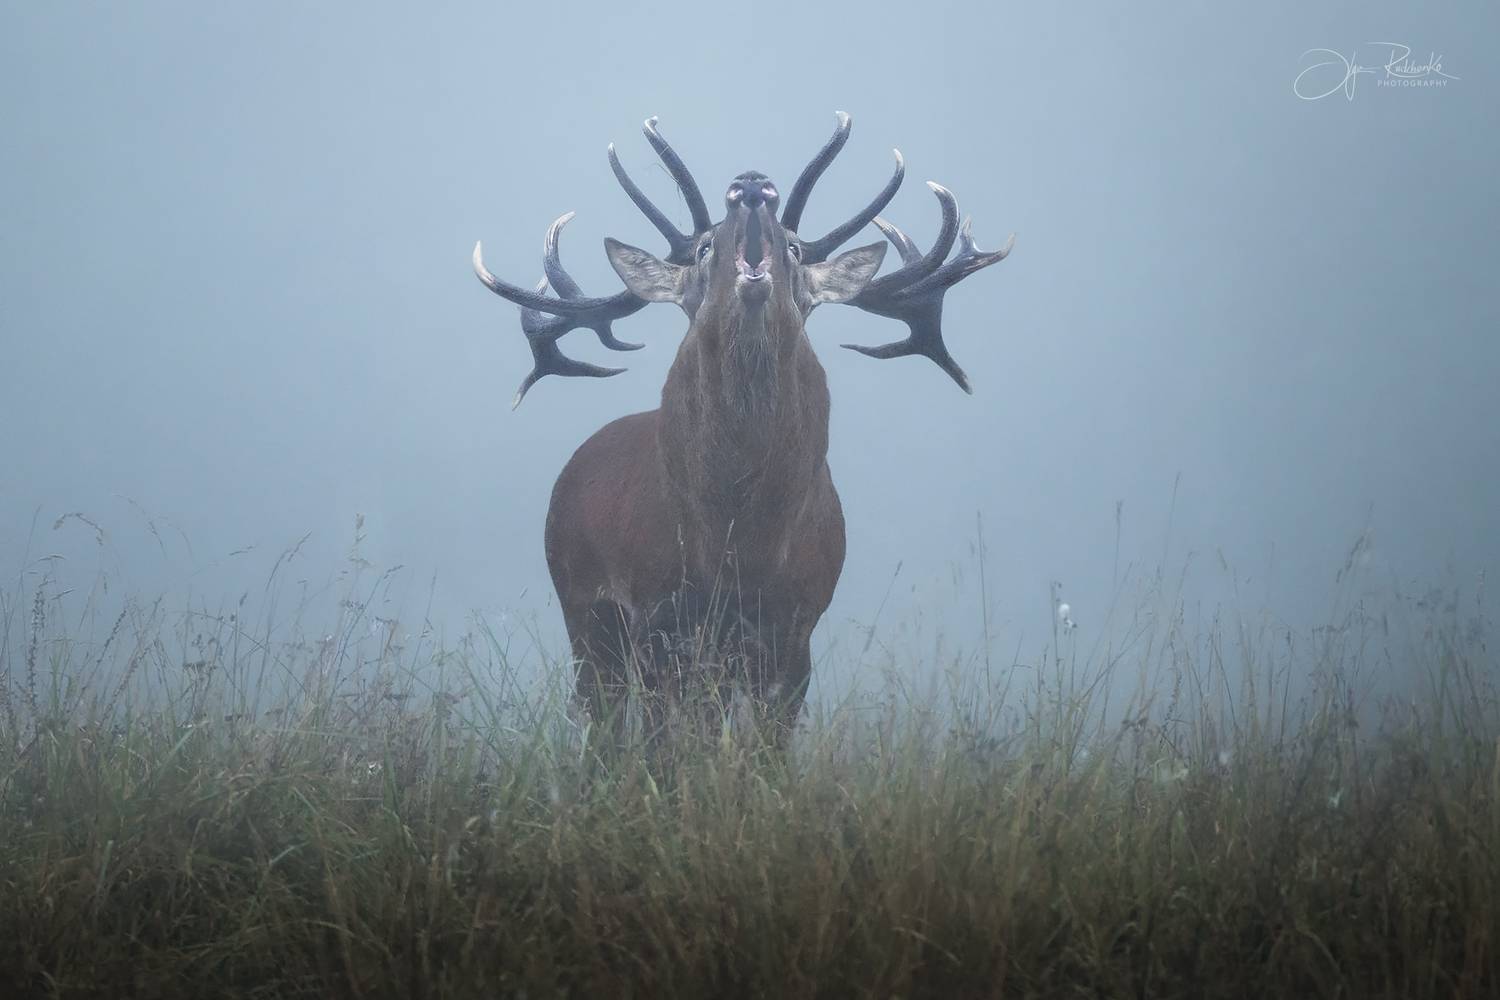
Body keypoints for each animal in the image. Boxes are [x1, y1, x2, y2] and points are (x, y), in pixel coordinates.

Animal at [473, 113, 1012, 746]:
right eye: (705, 245)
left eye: (795, 247)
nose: (752, 184)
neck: (739, 544)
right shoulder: (658, 617)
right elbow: (666, 746)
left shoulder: (796, 627)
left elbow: (765, 749)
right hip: (583, 608)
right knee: (603, 724)